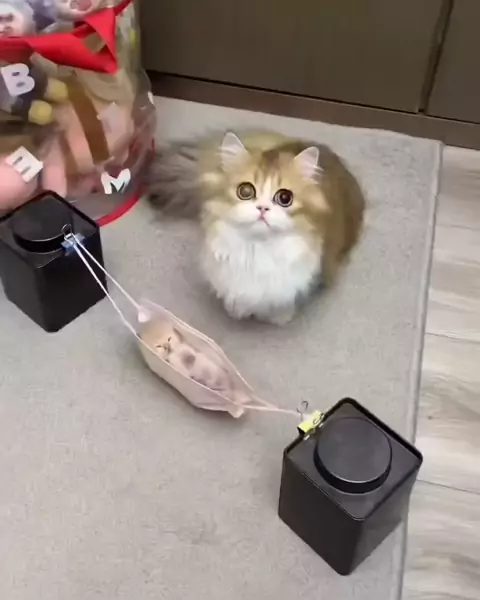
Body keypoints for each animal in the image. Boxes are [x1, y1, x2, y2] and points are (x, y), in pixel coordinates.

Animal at [147, 131, 365, 325]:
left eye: (284, 198)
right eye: (245, 191)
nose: (262, 208)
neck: (256, 249)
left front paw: (279, 317)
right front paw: (236, 310)